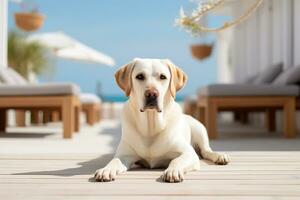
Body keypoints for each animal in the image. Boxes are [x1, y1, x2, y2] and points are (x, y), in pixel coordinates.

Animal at [95, 58, 229, 183]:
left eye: (162, 77)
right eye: (139, 76)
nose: (151, 94)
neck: (151, 126)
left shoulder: (189, 153)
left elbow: (176, 160)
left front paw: (173, 171)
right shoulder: (125, 155)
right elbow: (115, 161)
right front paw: (106, 169)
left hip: (199, 129)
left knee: (206, 151)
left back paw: (220, 156)